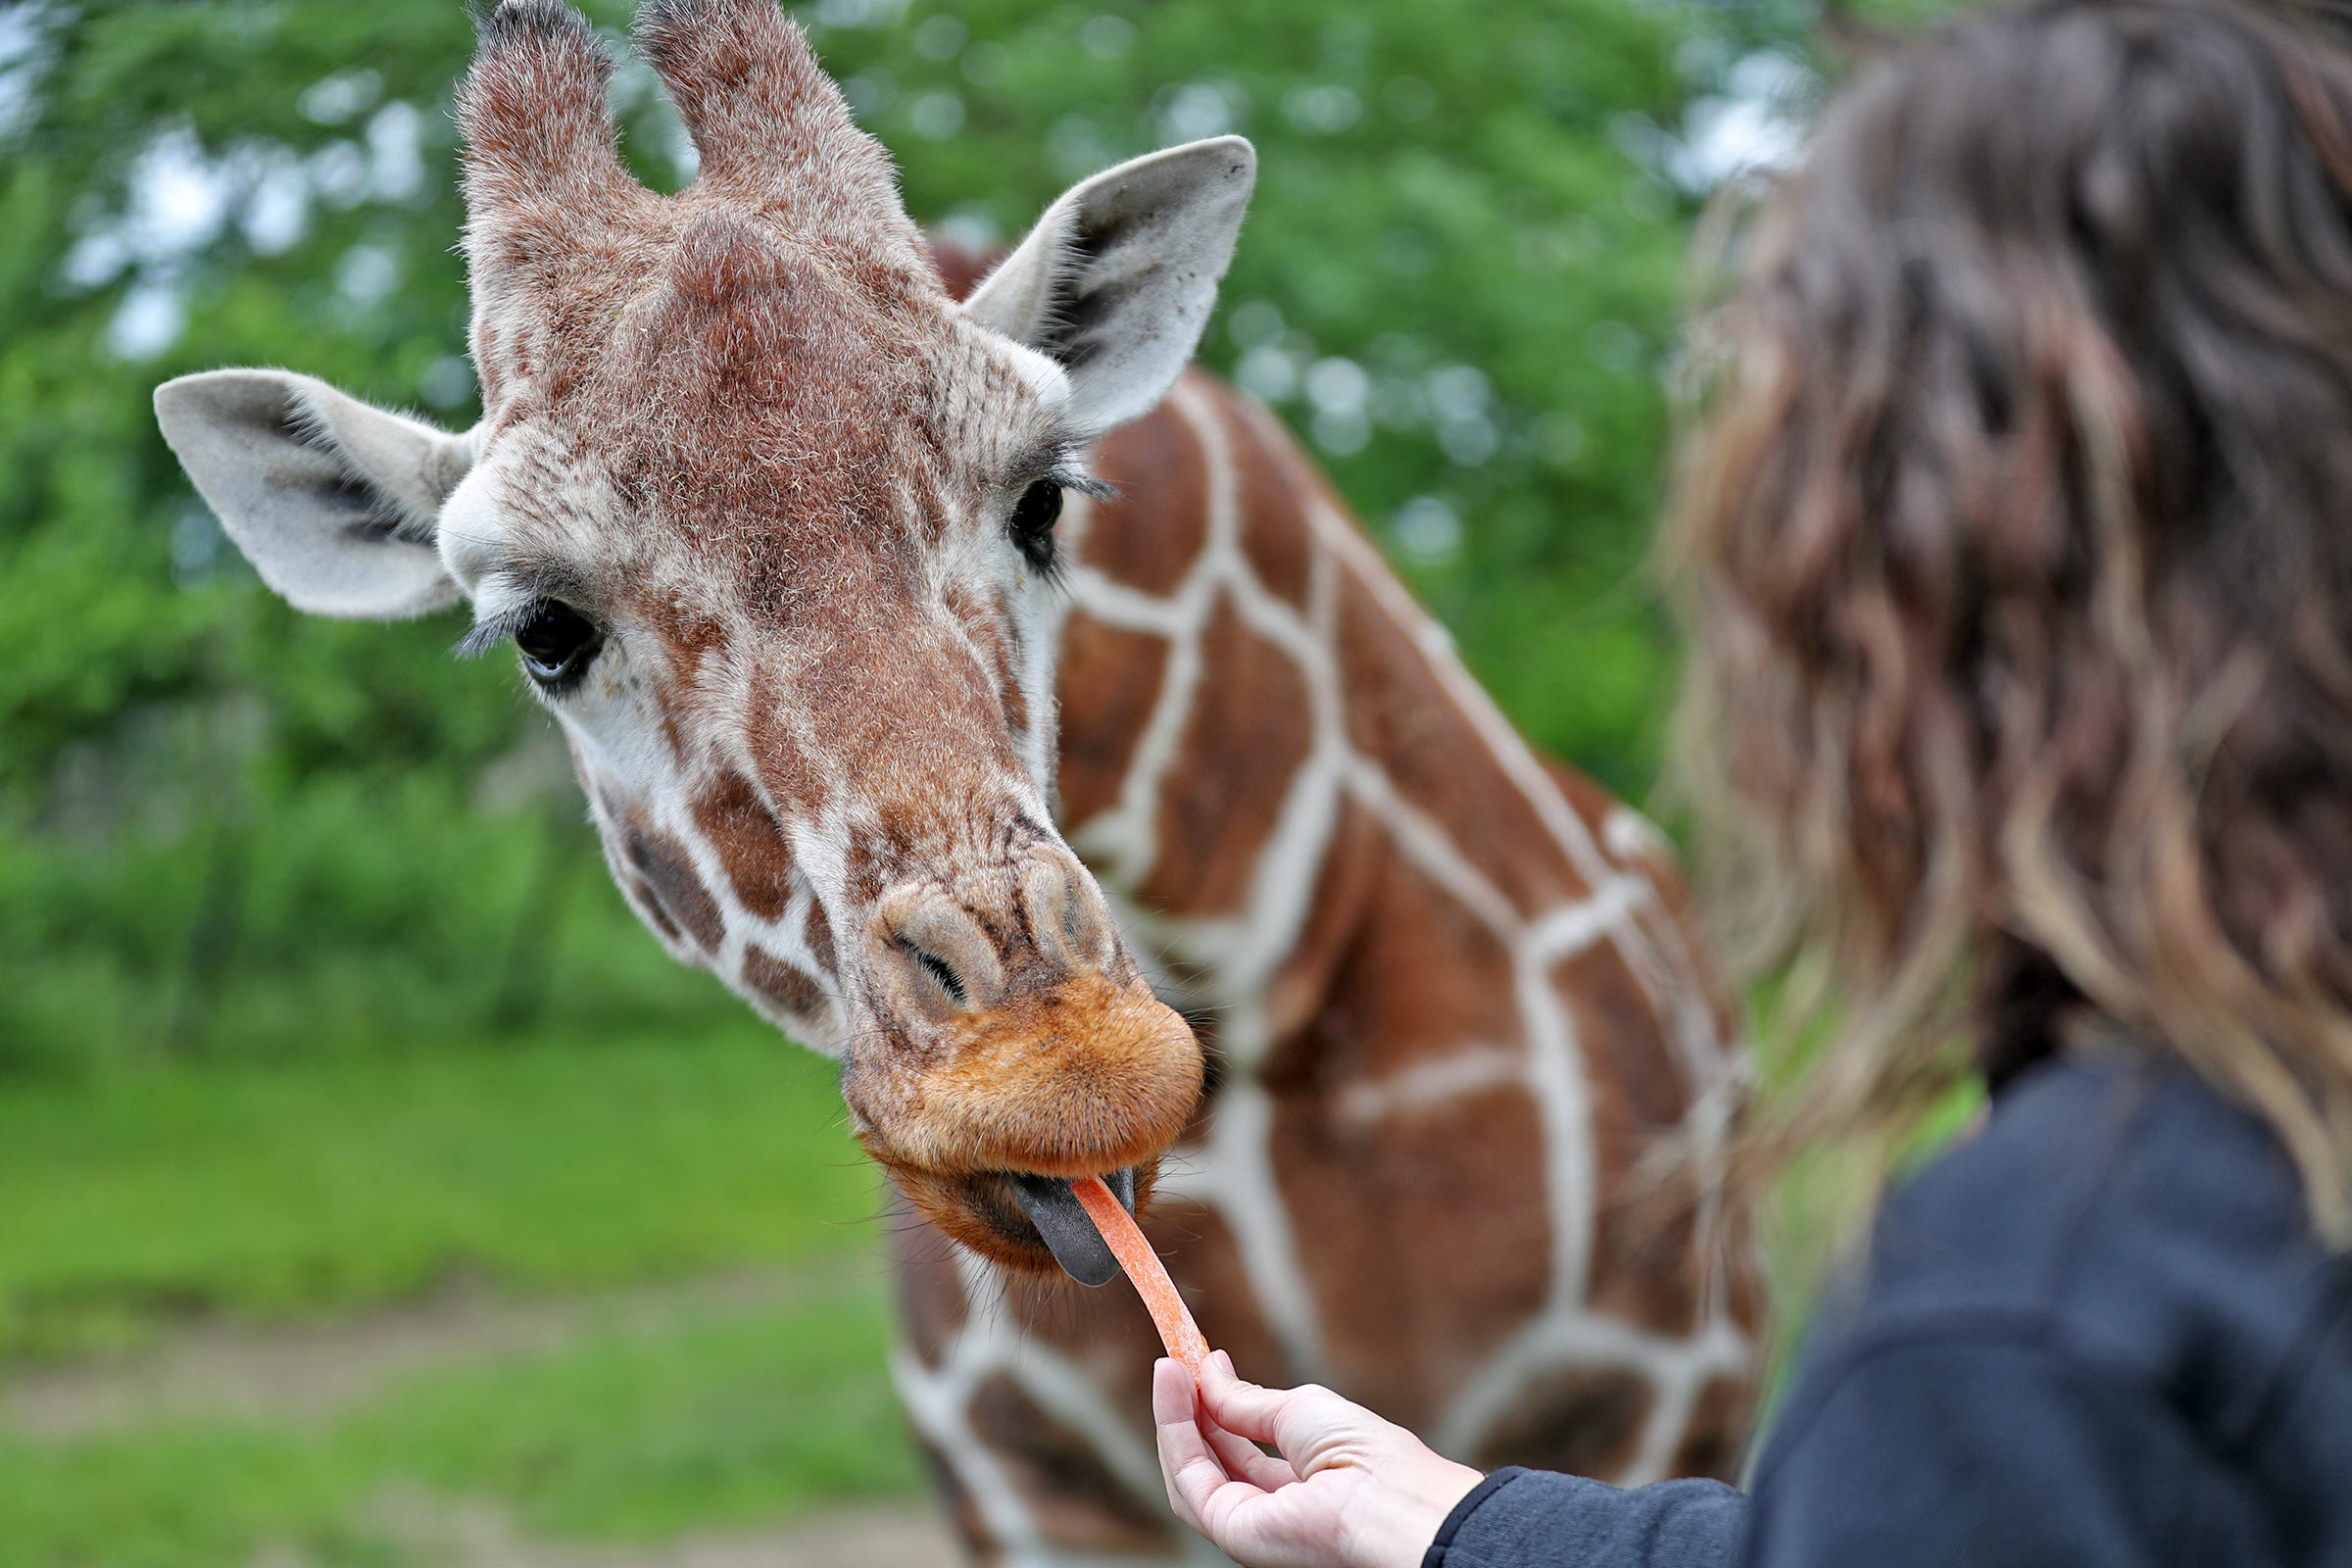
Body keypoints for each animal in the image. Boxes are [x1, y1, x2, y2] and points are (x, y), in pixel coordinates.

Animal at [151, 6, 1768, 1560]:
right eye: (546, 630)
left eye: (1045, 498)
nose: (1060, 1066)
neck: (1268, 966)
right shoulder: (1021, 1482)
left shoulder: (1646, 1406)